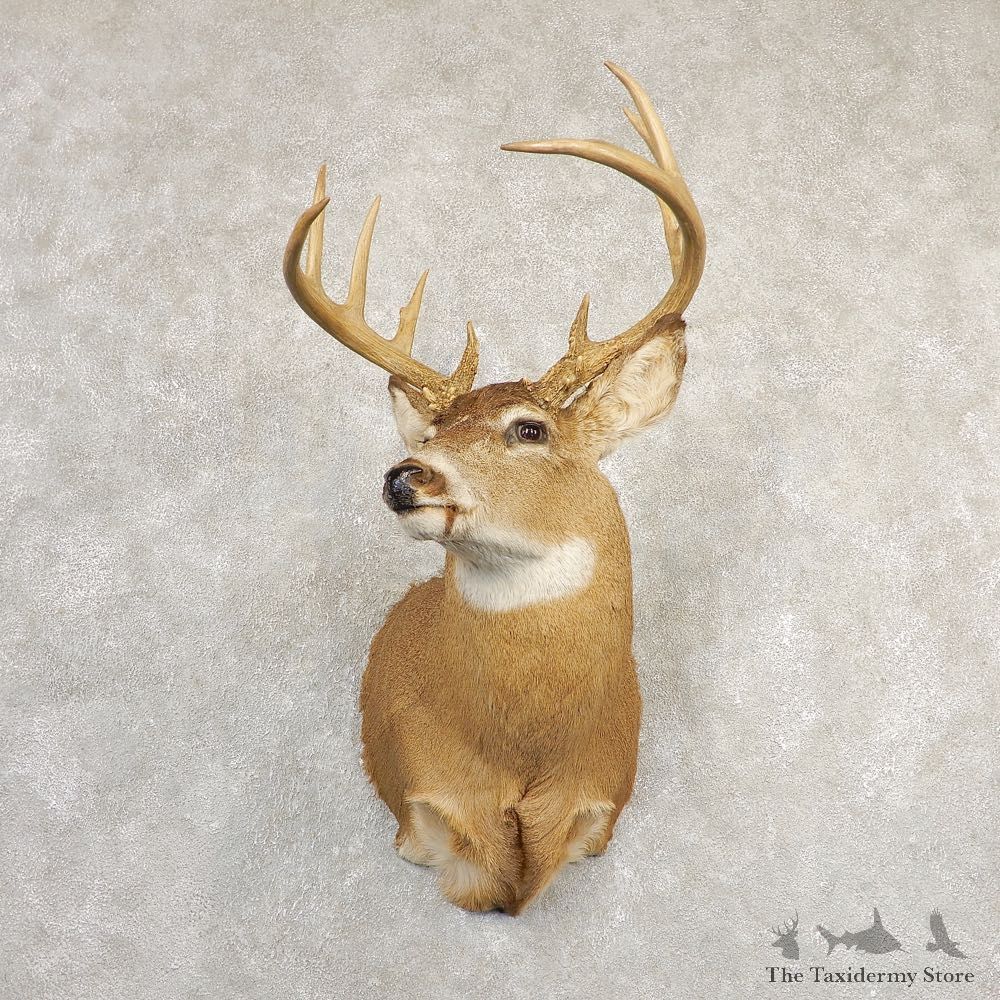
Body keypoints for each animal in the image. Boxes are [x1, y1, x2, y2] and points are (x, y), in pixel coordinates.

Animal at [282, 62, 705, 915]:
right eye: (432, 433)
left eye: (530, 429)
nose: (405, 476)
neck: (524, 755)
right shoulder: (423, 809)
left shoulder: (601, 806)